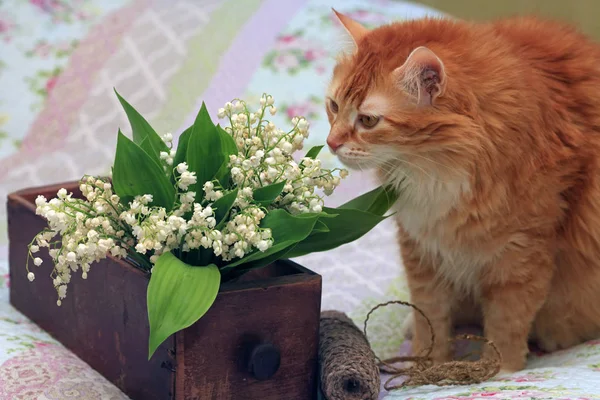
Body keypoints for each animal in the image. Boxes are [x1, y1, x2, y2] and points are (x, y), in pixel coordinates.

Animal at [328, 10, 600, 374]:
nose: (331, 142)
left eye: (368, 120)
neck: (435, 177)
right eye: (334, 106)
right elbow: (429, 317)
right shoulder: (421, 248)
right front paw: (426, 364)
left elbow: (506, 324)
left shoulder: (523, 256)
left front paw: (500, 371)